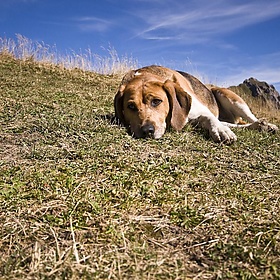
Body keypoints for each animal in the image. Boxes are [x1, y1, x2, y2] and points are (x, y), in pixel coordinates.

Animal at [114, 65, 278, 142]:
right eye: (130, 106)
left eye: (156, 101)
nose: (147, 130)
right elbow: (209, 120)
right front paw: (220, 129)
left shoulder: (199, 110)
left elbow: (209, 117)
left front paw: (220, 131)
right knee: (233, 123)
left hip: (230, 97)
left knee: (249, 118)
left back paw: (266, 125)